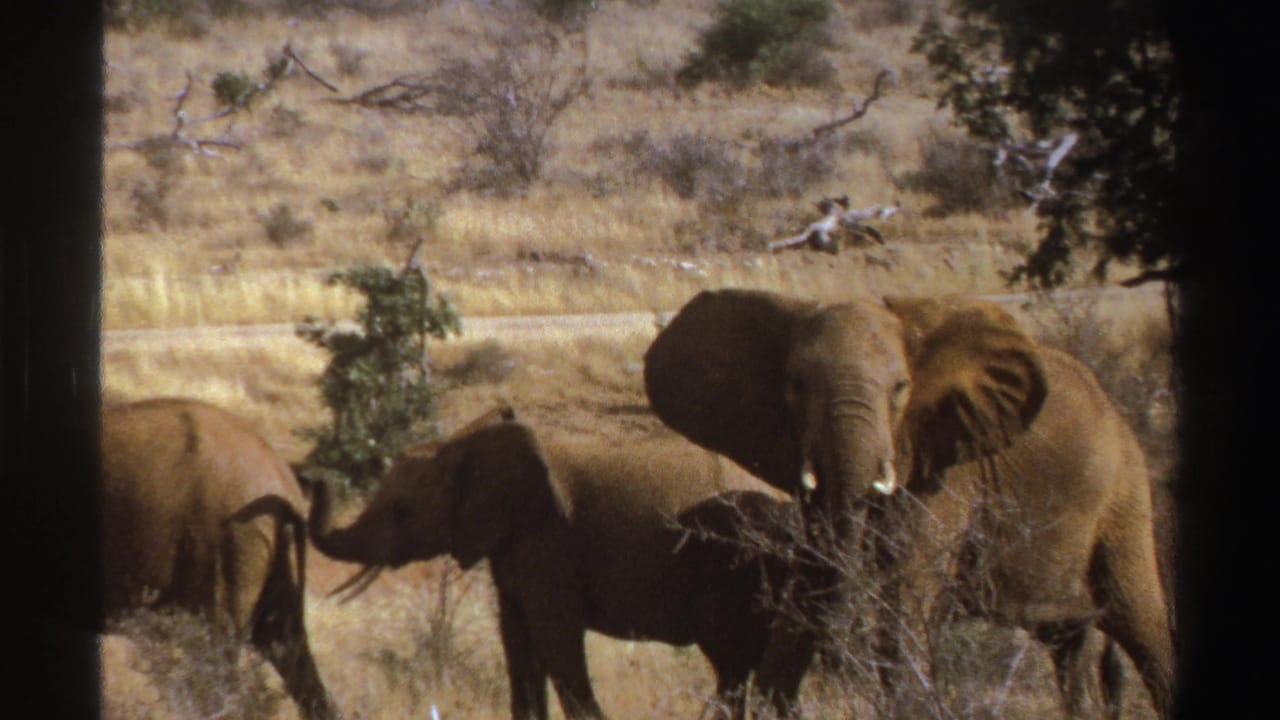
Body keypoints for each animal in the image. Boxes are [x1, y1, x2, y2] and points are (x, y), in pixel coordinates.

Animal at [306, 405, 807, 720]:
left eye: (402, 511)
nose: (312, 476)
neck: (463, 443)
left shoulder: (548, 540)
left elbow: (555, 638)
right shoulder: (513, 545)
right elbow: (516, 639)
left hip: (737, 563)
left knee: (733, 664)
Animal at [643, 289, 1173, 719]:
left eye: (900, 389)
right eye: (794, 385)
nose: (838, 658)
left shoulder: (946, 474)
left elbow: (902, 603)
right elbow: (808, 589)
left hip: (1123, 494)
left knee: (1144, 626)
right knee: (1071, 644)